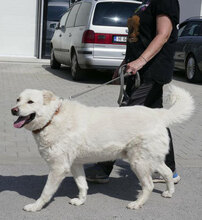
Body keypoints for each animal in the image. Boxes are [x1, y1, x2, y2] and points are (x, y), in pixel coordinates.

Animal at [11, 84, 194, 211]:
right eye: (18, 99)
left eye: (30, 102)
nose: (13, 110)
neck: (52, 117)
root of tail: (158, 113)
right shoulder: (75, 164)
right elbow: (82, 185)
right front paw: (81, 201)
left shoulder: (58, 168)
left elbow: (46, 192)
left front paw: (35, 207)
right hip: (151, 159)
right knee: (168, 172)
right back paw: (169, 192)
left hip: (139, 163)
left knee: (149, 185)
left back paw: (137, 204)